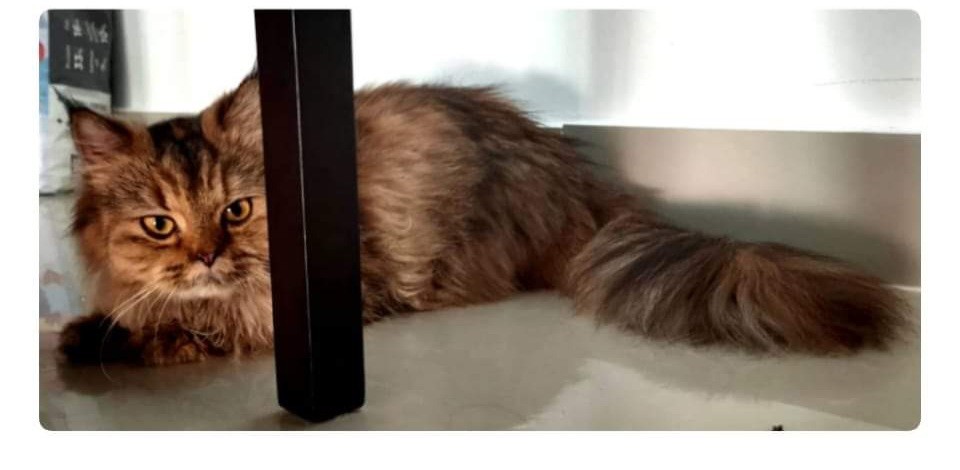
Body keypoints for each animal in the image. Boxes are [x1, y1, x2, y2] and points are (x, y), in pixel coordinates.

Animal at [58, 72, 907, 366]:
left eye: (236, 210)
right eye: (159, 224)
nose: (205, 257)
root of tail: (575, 176)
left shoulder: (324, 300)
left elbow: (202, 328)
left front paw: (117, 341)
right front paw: (89, 330)